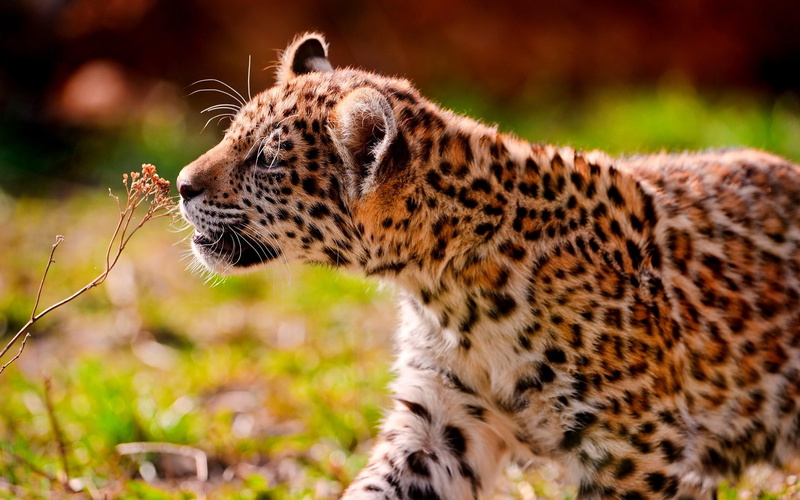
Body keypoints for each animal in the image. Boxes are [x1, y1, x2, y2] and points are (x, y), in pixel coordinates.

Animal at [177, 33, 800, 499]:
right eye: (232, 134)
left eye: (265, 159)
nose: (182, 185)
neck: (450, 288)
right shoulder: (439, 424)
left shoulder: (635, 448)